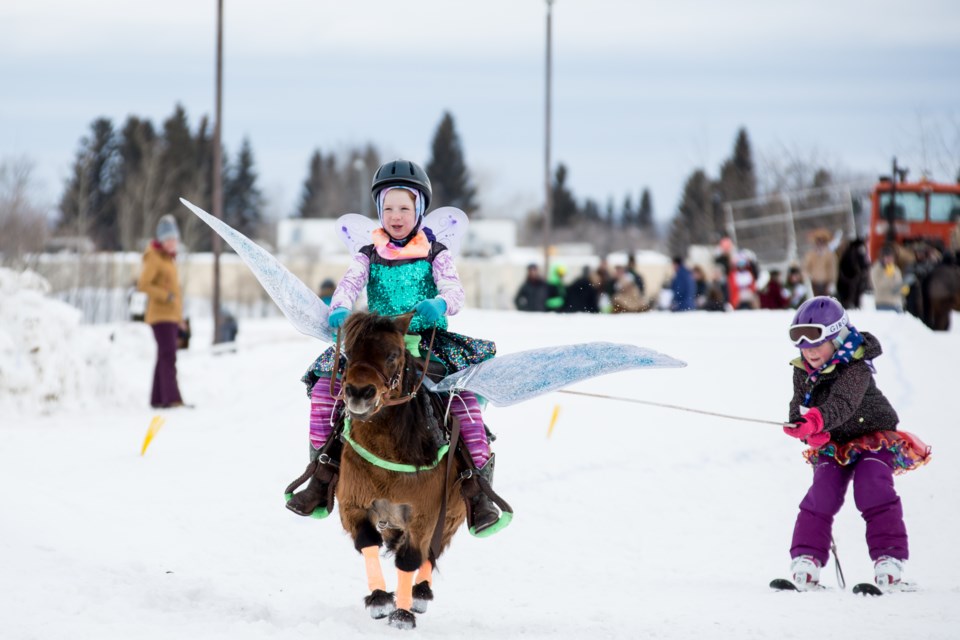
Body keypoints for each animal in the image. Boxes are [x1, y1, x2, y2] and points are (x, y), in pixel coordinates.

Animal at [336, 312, 466, 632]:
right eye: (348, 353)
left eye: (393, 354)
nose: (359, 393)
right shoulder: (352, 504)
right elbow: (366, 541)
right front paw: (380, 599)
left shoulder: (425, 514)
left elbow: (410, 559)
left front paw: (403, 614)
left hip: (452, 514)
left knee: (432, 551)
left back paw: (420, 593)